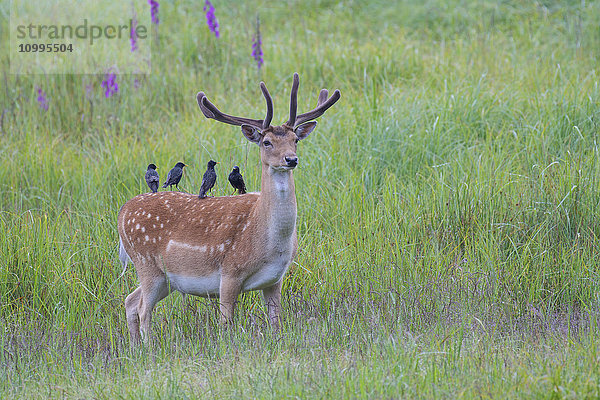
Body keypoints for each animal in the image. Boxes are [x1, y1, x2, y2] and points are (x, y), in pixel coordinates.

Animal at [118, 72, 342, 344]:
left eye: (295, 139)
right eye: (267, 142)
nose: (291, 159)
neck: (268, 242)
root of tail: (122, 212)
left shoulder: (275, 279)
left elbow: (276, 322)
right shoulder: (229, 273)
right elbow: (226, 323)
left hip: (165, 279)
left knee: (130, 301)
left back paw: (134, 348)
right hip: (146, 263)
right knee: (143, 309)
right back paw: (149, 348)